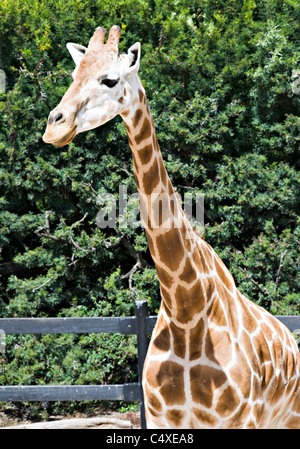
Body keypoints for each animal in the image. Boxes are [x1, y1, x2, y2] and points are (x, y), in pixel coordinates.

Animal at [42, 26, 300, 428]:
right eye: (73, 75)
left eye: (109, 79)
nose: (55, 126)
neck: (186, 314)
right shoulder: (162, 418)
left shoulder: (239, 420)